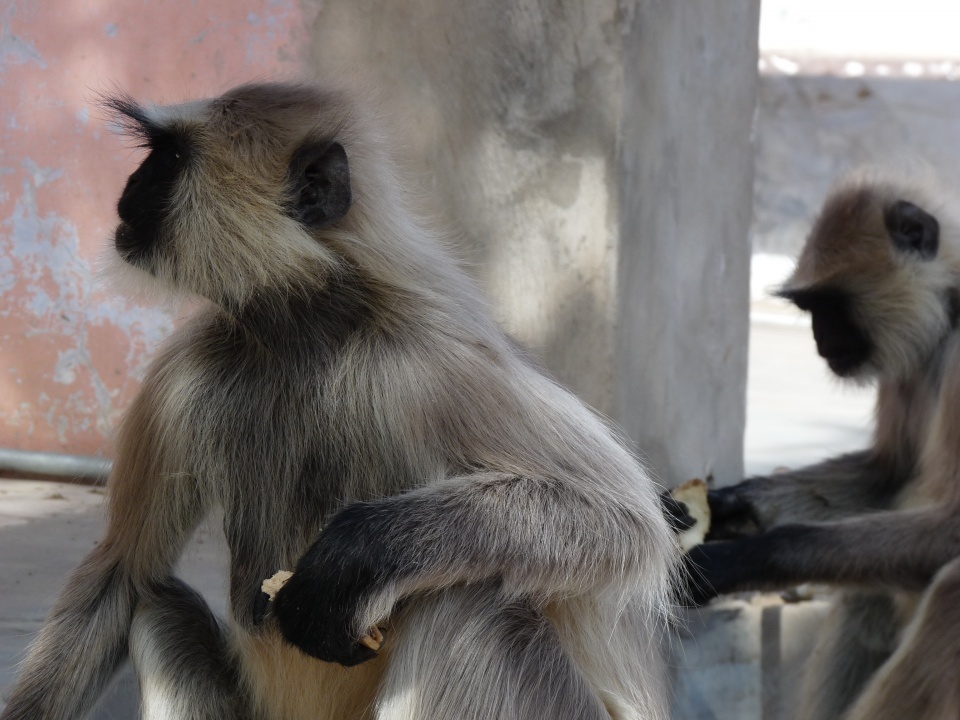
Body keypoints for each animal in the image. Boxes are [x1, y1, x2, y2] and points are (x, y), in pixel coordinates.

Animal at [0, 81, 677, 720]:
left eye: (168, 159)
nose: (131, 185)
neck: (301, 329)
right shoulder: (182, 370)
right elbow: (122, 571)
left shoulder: (433, 355)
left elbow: (625, 516)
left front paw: (361, 554)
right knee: (156, 602)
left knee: (470, 604)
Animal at [684, 172, 960, 720]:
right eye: (811, 309)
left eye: (830, 307)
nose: (818, 338)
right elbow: (888, 474)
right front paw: (726, 507)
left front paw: (748, 557)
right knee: (870, 595)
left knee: (950, 595)